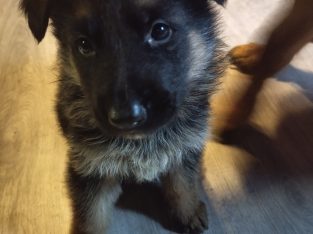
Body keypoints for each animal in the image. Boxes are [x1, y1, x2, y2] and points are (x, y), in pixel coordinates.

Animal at [21, 0, 224, 232]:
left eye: (160, 30)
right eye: (84, 45)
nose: (125, 118)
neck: (142, 142)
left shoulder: (185, 147)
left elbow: (183, 183)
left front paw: (189, 212)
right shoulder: (91, 167)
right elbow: (92, 216)